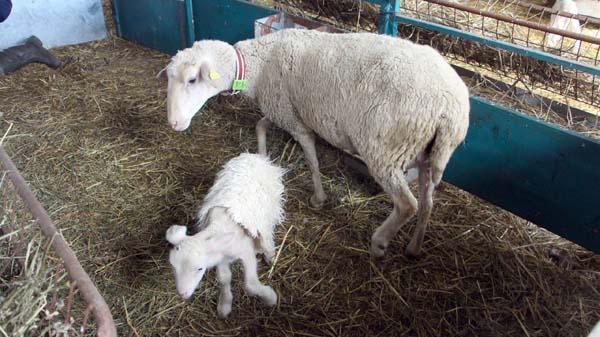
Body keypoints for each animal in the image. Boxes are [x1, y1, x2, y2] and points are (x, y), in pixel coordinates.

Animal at [162, 28, 472, 256]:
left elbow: (311, 158)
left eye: (192, 79)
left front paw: (319, 198)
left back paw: (379, 242)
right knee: (428, 201)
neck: (258, 65)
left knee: (407, 204)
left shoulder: (293, 119)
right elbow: (260, 125)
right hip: (426, 154)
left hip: (385, 150)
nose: (174, 124)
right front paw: (262, 157)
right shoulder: (282, 109)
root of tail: (451, 108)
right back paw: (414, 248)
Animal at [164, 152, 286, 318]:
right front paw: (224, 305)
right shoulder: (220, 255)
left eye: (200, 269)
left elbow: (250, 285)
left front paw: (270, 298)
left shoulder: (246, 252)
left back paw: (271, 255)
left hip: (269, 211)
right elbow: (223, 278)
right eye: (173, 267)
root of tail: (254, 156)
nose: (182, 294)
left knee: (267, 234)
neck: (218, 227)